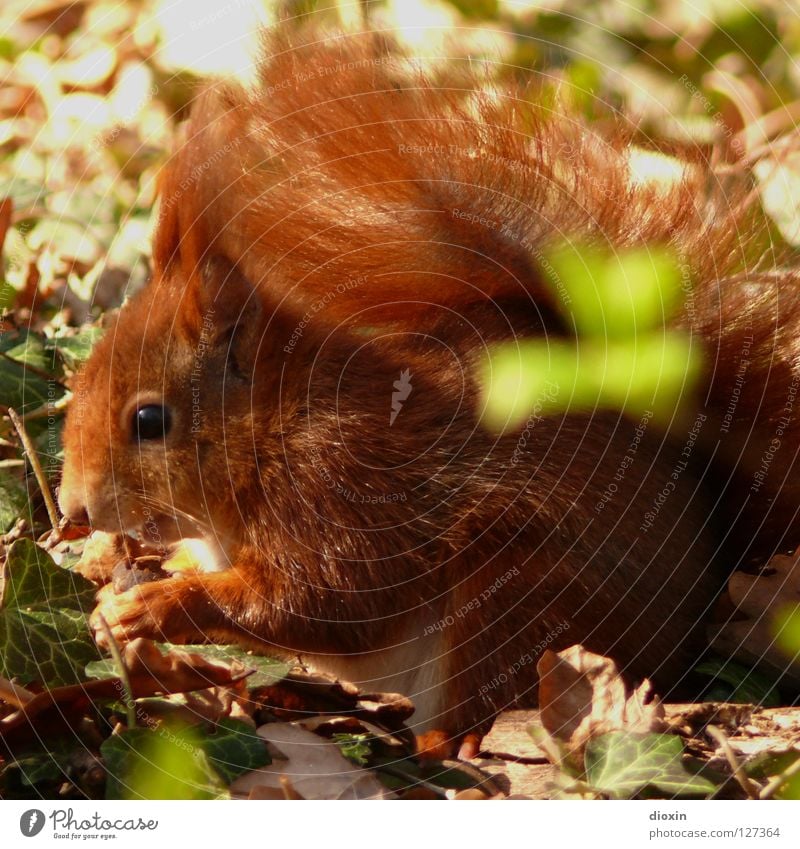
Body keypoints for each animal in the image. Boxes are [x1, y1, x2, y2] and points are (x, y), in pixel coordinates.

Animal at [59, 29, 800, 740]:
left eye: (149, 421)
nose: (73, 511)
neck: (276, 419)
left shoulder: (342, 490)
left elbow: (318, 603)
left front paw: (153, 605)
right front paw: (113, 595)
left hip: (518, 596)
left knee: (477, 710)